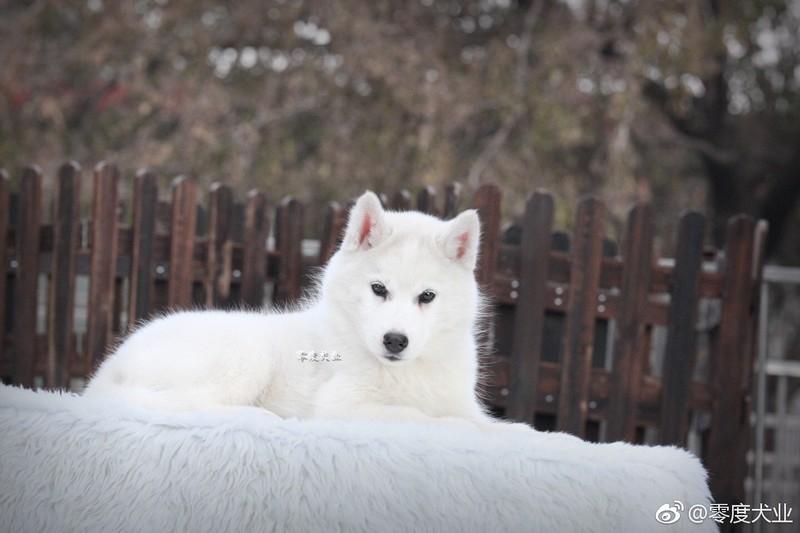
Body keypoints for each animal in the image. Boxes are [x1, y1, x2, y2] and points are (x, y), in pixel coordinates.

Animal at [84, 191, 528, 432]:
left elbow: (489, 424)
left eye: (428, 296)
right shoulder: (342, 407)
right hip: (246, 356)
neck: (405, 372)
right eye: (378, 289)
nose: (395, 341)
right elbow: (426, 420)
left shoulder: (462, 403)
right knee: (187, 406)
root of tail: (105, 373)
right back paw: (261, 417)